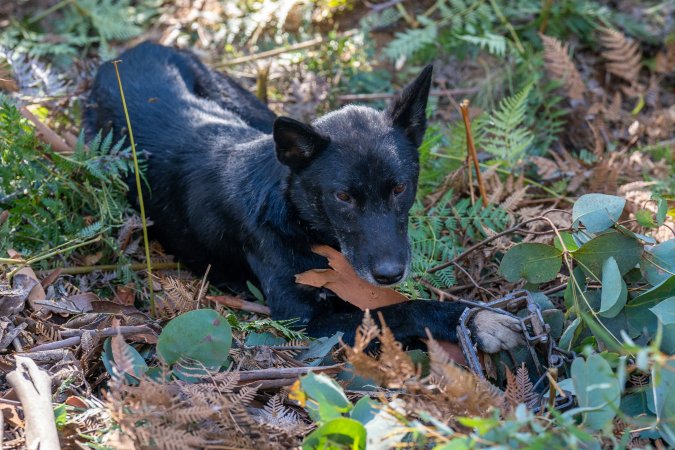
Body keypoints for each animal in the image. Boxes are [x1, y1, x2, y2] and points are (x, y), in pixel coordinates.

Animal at [84, 42, 524, 352]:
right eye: (342, 196)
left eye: (400, 188)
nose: (389, 274)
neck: (297, 218)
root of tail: (130, 51)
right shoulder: (305, 320)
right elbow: (399, 309)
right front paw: (472, 319)